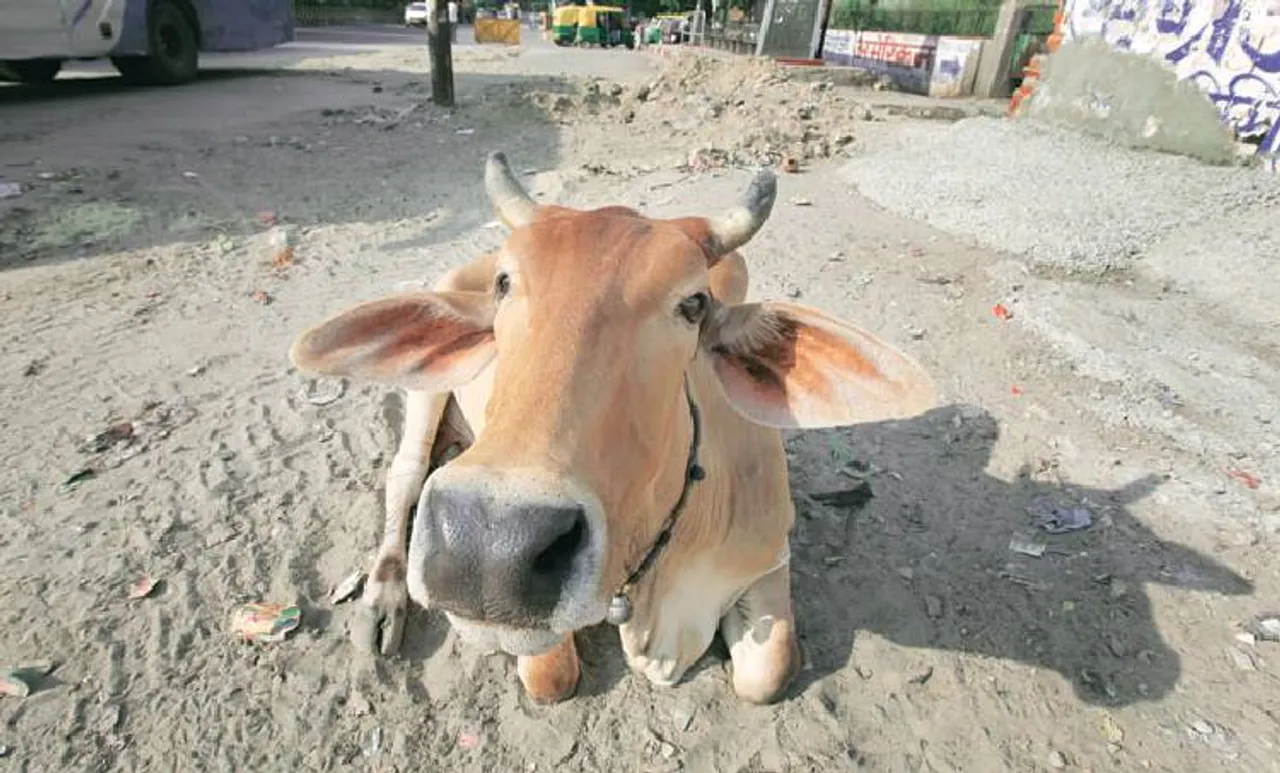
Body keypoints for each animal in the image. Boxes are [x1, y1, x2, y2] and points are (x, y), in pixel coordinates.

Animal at [289, 152, 938, 705]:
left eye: (693, 304)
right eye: (505, 283)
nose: (488, 550)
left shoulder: (769, 556)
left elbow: (768, 673)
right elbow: (551, 676)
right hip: (427, 392)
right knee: (404, 479)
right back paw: (383, 600)